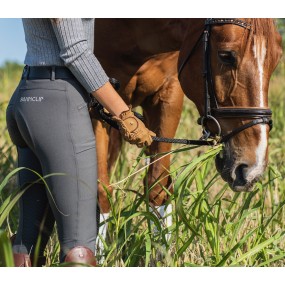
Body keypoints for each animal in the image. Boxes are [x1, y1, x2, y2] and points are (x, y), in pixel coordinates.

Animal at [90, 18, 280, 244]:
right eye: (226, 55)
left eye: (276, 59)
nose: (252, 170)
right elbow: (100, 192)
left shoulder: (168, 95)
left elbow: (158, 187)